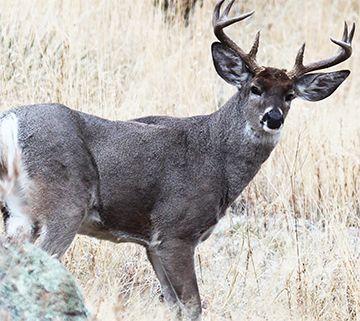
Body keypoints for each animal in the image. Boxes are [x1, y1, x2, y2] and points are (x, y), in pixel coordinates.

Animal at [0, 0, 354, 318]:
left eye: (290, 95)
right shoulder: (175, 231)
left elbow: (174, 306)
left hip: (18, 214)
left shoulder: (151, 245)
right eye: (255, 87)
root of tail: (11, 122)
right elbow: (193, 306)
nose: (274, 118)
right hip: (65, 203)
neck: (217, 158)